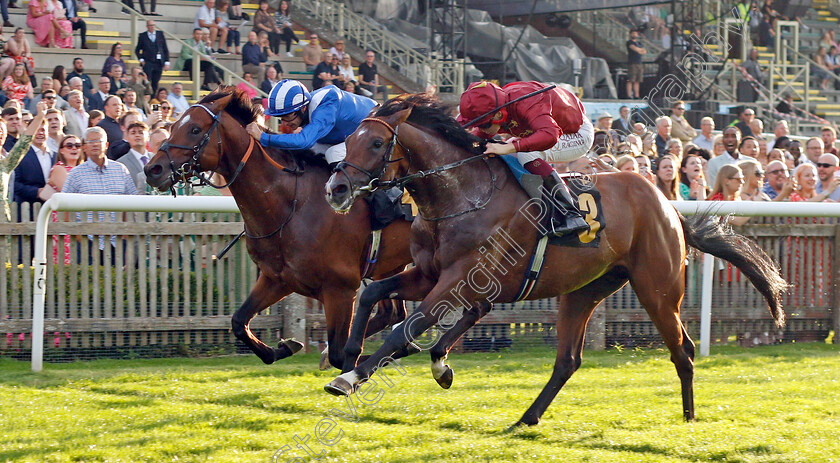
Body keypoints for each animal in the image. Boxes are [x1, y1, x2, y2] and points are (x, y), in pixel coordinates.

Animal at [147, 87, 420, 370]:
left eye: (195, 129)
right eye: (173, 126)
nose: (152, 169)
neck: (294, 204)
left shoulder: (341, 289)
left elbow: (340, 353)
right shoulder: (277, 279)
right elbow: (239, 322)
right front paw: (286, 346)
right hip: (388, 264)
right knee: (392, 313)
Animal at [322, 94, 788, 428]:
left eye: (377, 142)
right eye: (347, 140)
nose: (336, 189)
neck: (462, 193)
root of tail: (668, 207)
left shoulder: (459, 280)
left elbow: (404, 329)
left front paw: (349, 378)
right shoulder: (427, 273)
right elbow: (374, 295)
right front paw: (347, 356)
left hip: (658, 289)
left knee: (683, 350)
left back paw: (689, 418)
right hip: (584, 291)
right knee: (568, 360)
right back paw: (525, 418)